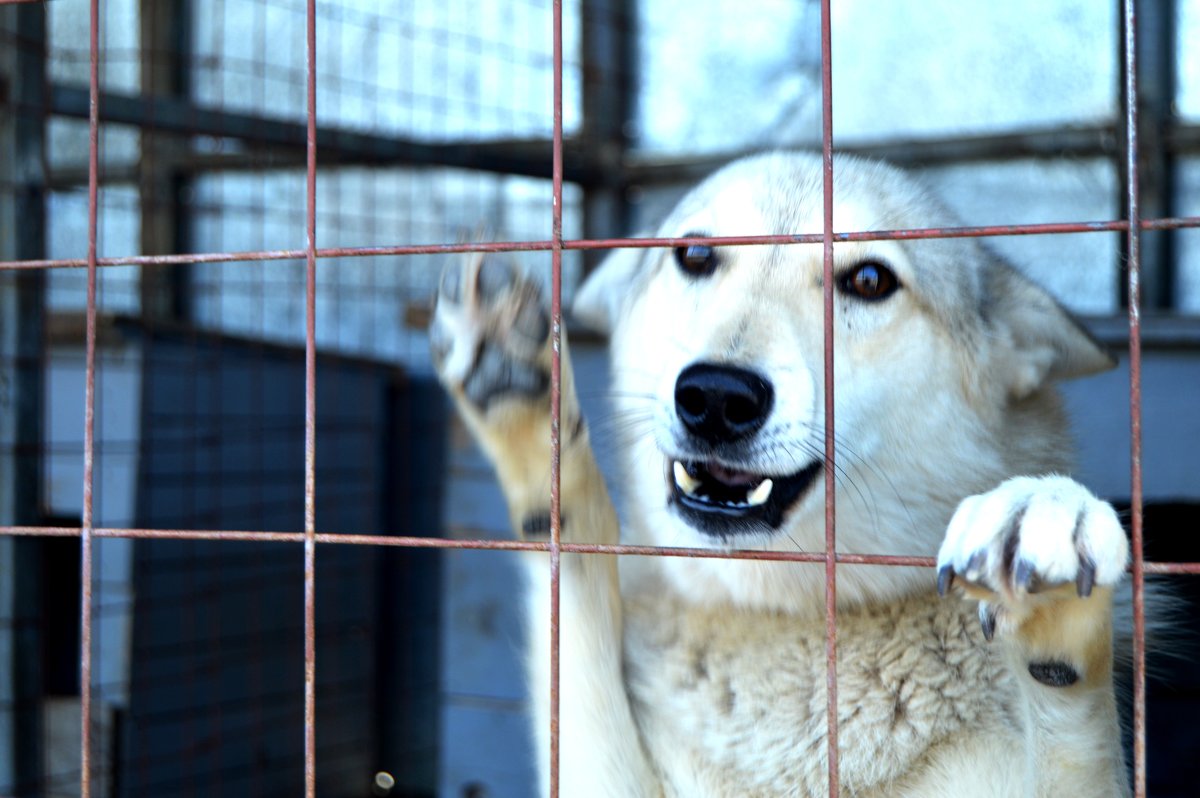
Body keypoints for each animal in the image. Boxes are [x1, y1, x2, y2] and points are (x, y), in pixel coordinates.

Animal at [432, 151, 1132, 796]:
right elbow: (573, 595)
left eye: (870, 279)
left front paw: (1053, 578)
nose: (716, 397)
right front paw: (526, 415)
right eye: (695, 254)